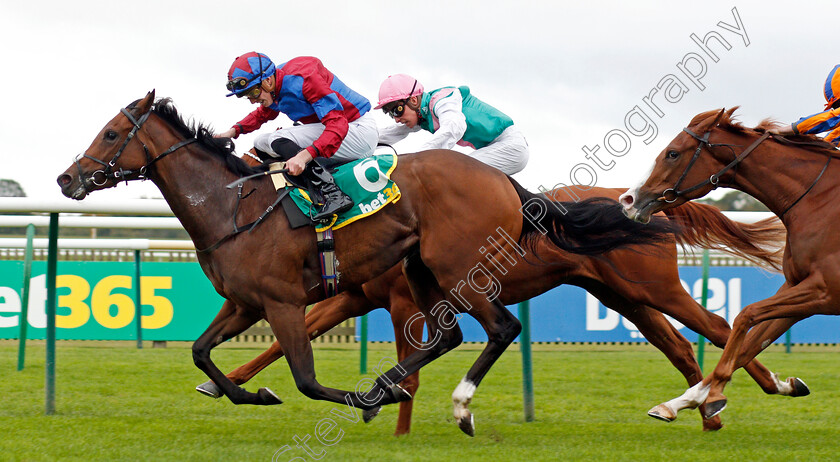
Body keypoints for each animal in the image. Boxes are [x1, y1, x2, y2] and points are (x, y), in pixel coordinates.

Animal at [57, 92, 676, 434]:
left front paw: (361, 400)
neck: (234, 206)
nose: (67, 178)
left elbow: (306, 379)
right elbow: (201, 352)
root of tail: (504, 181)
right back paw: (391, 386)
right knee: (449, 337)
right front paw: (250, 393)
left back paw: (455, 406)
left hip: (457, 267)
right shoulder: (244, 303)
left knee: (501, 328)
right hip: (422, 269)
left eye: (111, 133)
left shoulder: (283, 302)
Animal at [200, 185, 804, 434]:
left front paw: (390, 414)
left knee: (719, 324)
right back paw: (703, 409)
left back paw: (759, 389)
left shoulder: (397, 299)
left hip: (652, 287)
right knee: (679, 342)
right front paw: (227, 382)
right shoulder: (355, 294)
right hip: (623, 296)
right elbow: (291, 335)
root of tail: (642, 203)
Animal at [616, 107, 832, 422]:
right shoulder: (803, 287)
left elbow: (744, 316)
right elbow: (750, 342)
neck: (819, 200)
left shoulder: (825, 290)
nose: (628, 199)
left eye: (672, 153)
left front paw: (710, 397)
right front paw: (686, 401)